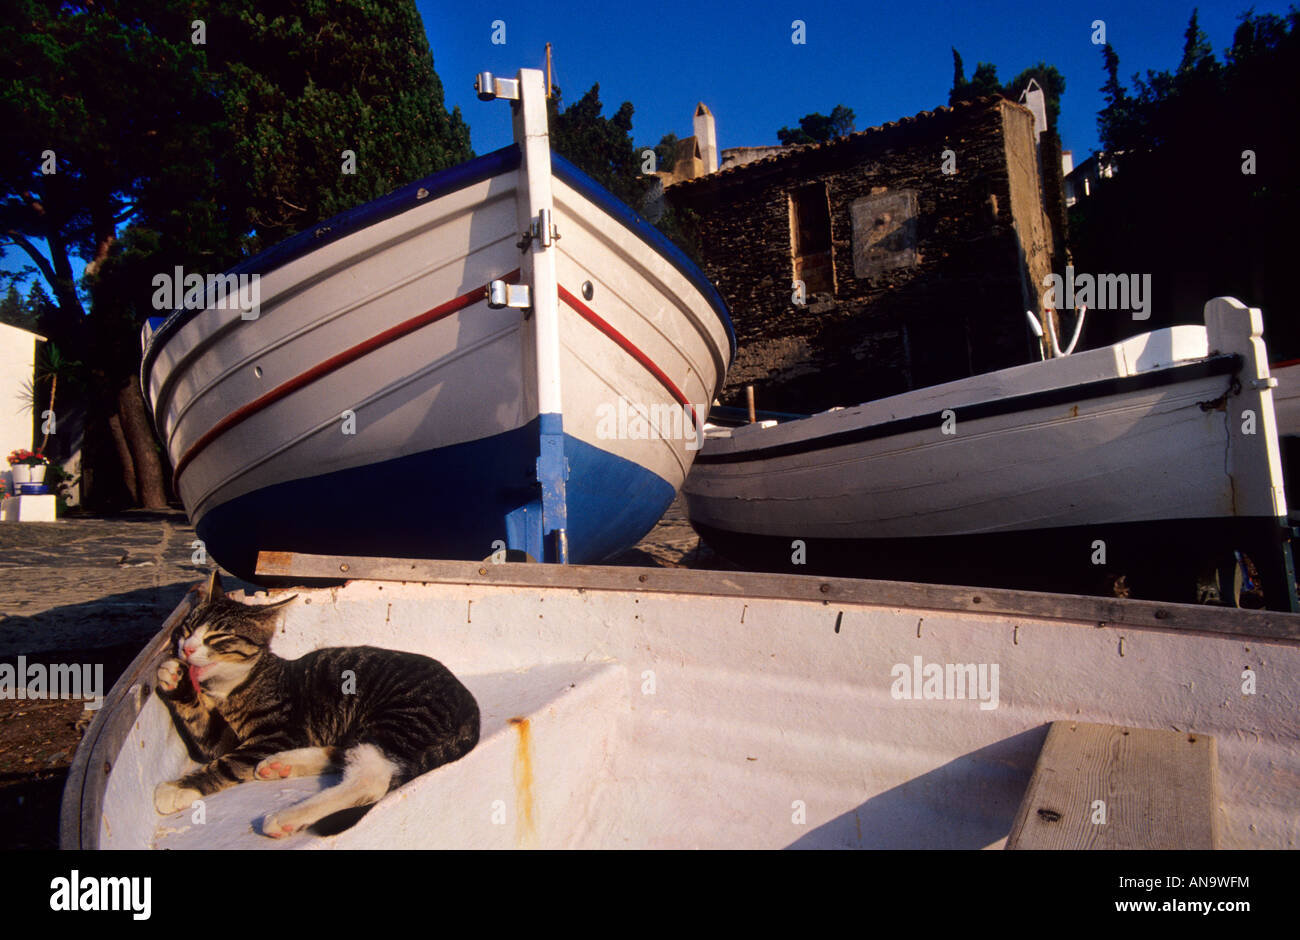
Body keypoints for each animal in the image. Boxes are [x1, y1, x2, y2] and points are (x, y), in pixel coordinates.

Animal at [152, 574, 478, 837]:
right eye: (187, 629)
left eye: (218, 636)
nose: (186, 648)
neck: (231, 685)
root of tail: (470, 706)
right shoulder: (221, 738)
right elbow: (206, 730)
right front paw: (175, 679)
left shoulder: (275, 734)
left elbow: (227, 762)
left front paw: (177, 788)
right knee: (348, 753)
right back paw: (282, 765)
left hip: (400, 716)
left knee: (370, 778)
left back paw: (286, 816)